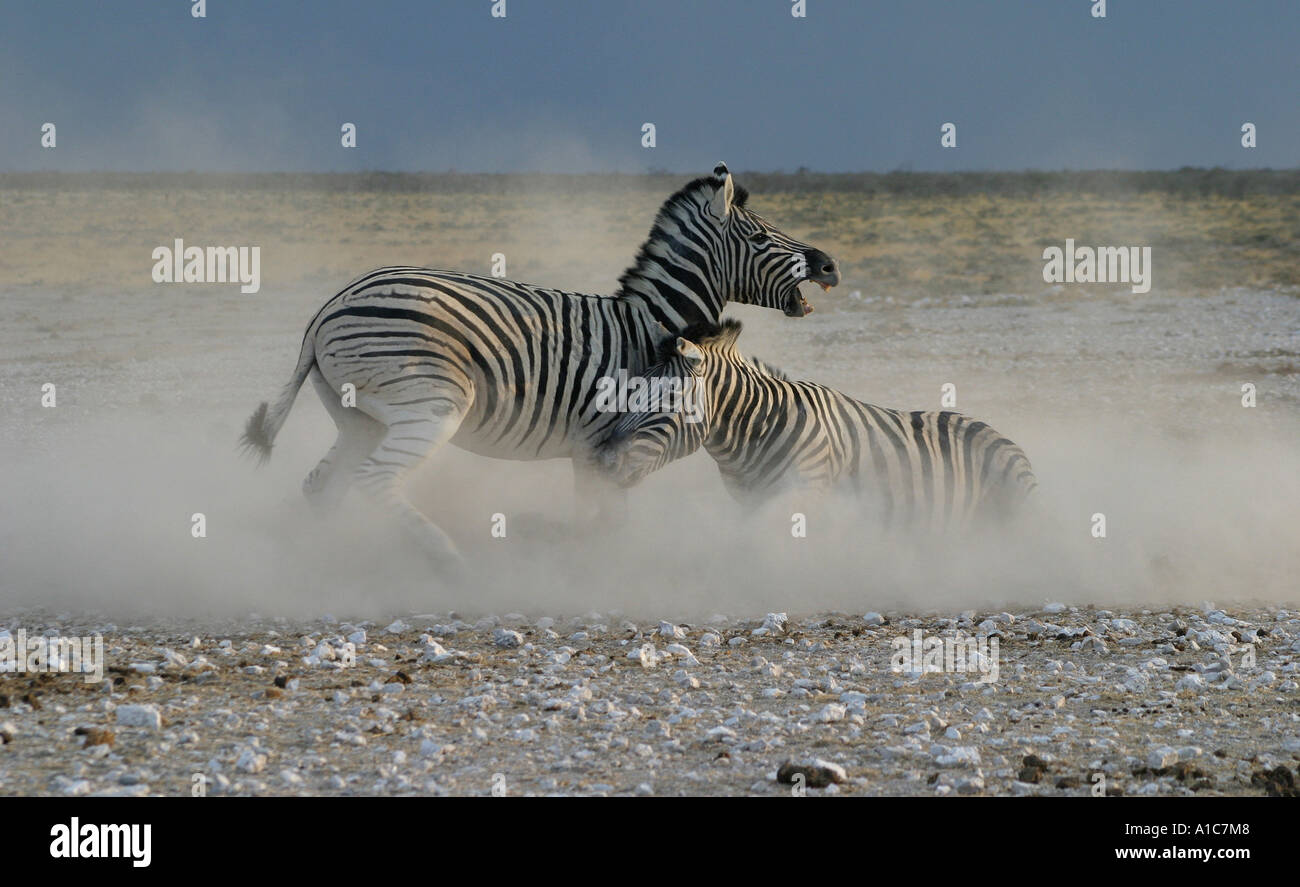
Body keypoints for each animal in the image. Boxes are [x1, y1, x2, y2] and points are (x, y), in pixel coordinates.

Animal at [244, 163, 842, 567]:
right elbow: (606, 519)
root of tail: (329, 307)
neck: (648, 328)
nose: (830, 265)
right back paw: (447, 559)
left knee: (323, 485)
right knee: (373, 480)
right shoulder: (600, 445)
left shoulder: (598, 450)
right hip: (430, 405)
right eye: (760, 236)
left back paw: (320, 563)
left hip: (361, 418)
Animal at [595, 319, 1034, 533]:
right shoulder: (749, 500)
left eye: (666, 399)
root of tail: (998, 432)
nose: (604, 462)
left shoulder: (805, 491)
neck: (752, 434)